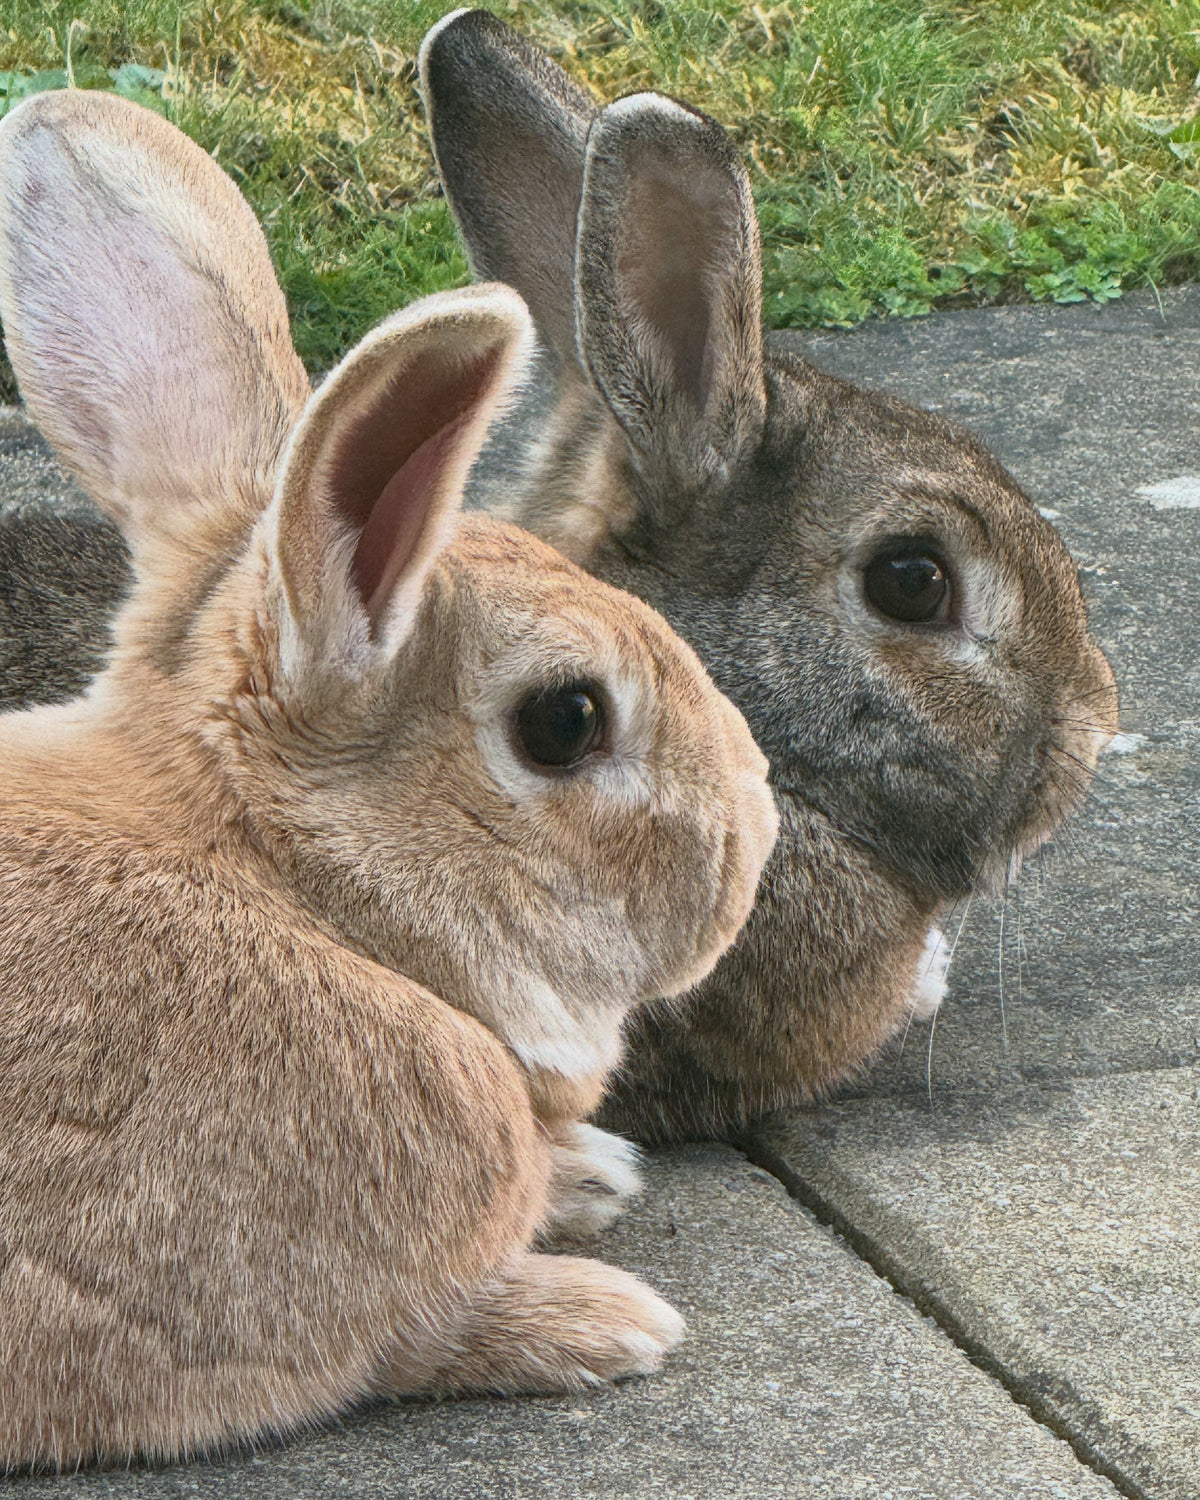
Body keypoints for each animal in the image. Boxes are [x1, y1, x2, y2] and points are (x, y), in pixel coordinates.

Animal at [0, 89, 777, 1469]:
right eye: (567, 721)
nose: (761, 827)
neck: (298, 890)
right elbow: (416, 1341)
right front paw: (605, 1318)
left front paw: (593, 1174)